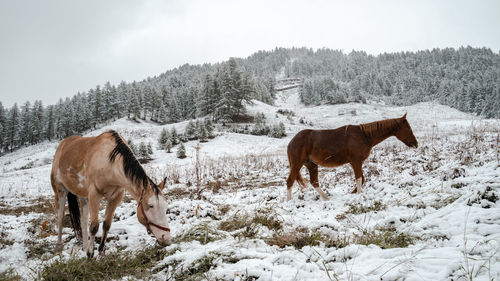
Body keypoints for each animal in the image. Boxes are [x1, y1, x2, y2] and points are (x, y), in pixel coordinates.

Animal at [286, 112, 418, 200]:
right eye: (408, 128)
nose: (415, 144)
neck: (364, 136)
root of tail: (291, 142)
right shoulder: (356, 162)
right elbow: (359, 179)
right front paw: (359, 195)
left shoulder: (356, 163)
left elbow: (362, 179)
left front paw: (353, 193)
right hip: (297, 164)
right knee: (290, 181)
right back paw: (289, 202)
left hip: (312, 165)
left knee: (314, 182)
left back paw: (326, 198)